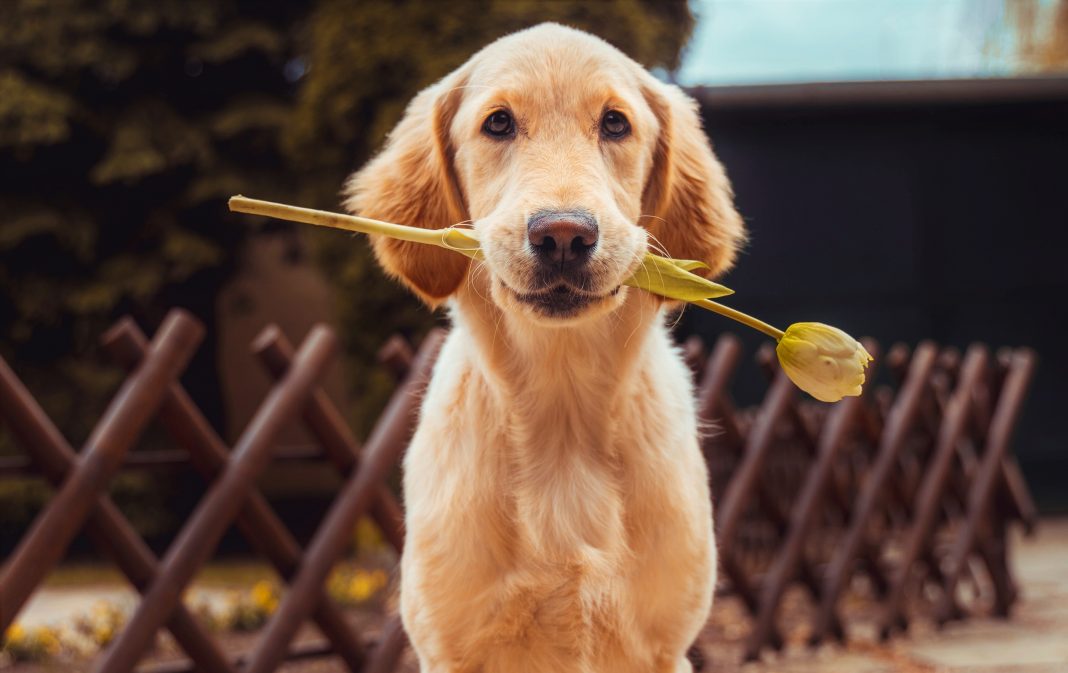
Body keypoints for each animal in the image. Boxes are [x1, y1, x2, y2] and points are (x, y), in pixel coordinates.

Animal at [346, 22, 747, 673]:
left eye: (615, 123)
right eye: (499, 123)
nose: (563, 235)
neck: (563, 411)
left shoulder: (665, 648)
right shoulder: (448, 646)